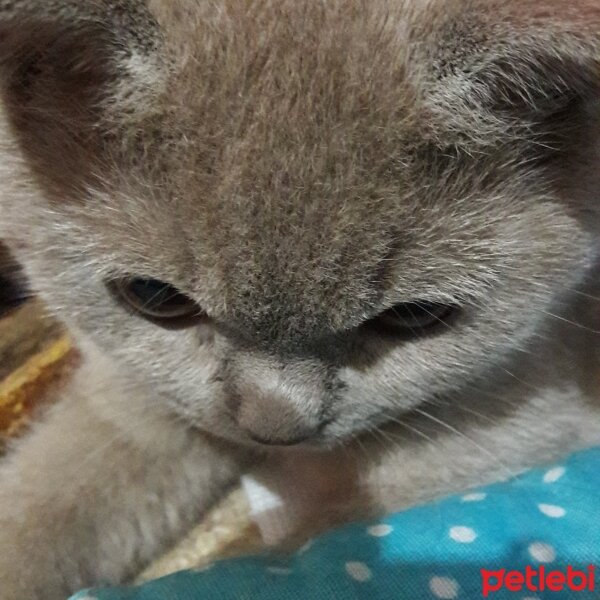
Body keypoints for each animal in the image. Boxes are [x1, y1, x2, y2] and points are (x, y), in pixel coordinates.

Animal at [1, 1, 600, 600]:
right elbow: (47, 499)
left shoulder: (517, 414)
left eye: (415, 317)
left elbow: (321, 547)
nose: (275, 428)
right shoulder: (130, 389)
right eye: (153, 297)